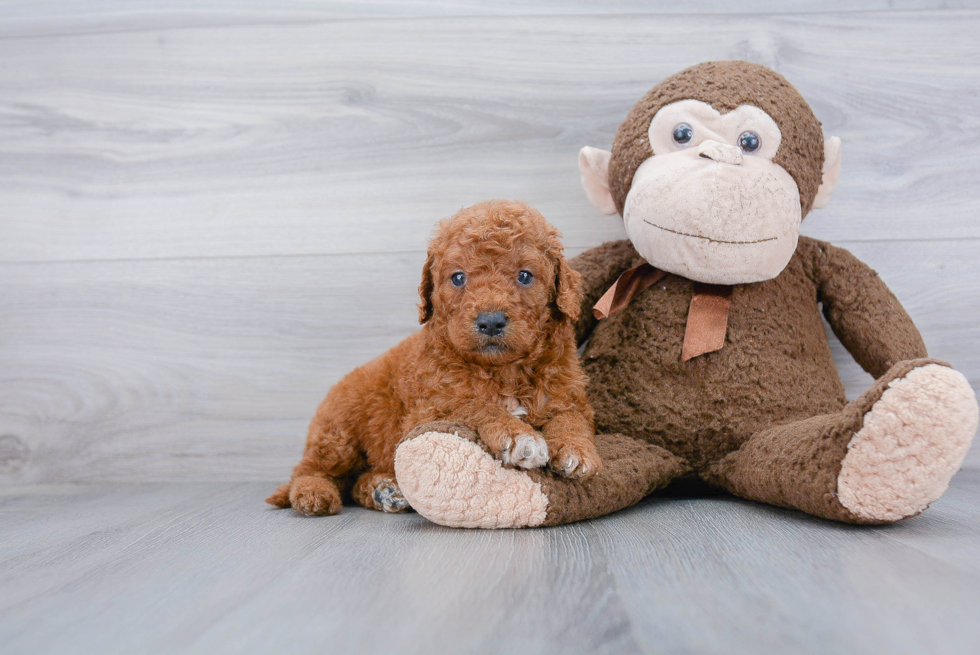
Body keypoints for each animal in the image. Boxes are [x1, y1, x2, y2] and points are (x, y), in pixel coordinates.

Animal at [272, 200, 600, 516]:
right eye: (458, 278)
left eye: (524, 276)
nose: (490, 321)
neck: (502, 371)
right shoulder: (425, 413)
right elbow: (472, 405)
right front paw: (517, 435)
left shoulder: (567, 393)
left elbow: (571, 416)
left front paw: (577, 449)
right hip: (338, 432)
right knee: (313, 469)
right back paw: (313, 493)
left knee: (355, 482)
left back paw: (384, 490)